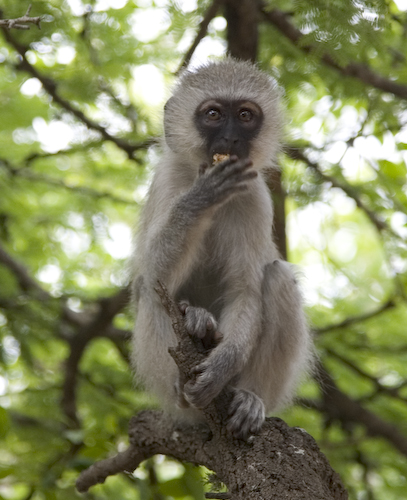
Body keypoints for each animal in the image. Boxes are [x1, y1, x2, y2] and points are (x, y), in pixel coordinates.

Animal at [132, 58, 314, 440]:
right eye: (213, 114)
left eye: (245, 115)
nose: (231, 138)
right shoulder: (169, 179)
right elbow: (153, 276)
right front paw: (202, 196)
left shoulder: (255, 196)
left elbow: (244, 289)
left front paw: (221, 365)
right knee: (152, 293)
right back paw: (194, 331)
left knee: (277, 277)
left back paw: (248, 397)